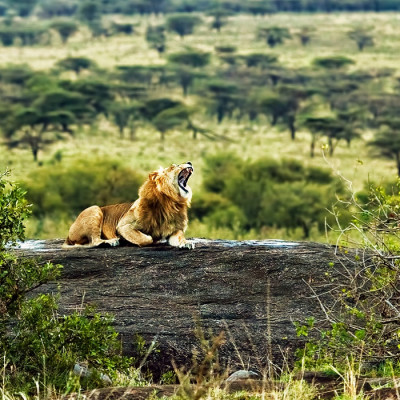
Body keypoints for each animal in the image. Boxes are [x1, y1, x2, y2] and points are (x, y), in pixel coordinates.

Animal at [63, 162, 195, 250]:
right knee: (94, 241)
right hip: (94, 209)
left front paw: (186, 243)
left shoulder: (174, 229)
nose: (189, 162)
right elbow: (147, 239)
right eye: (174, 166)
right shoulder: (123, 226)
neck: (170, 202)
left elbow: (180, 237)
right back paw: (111, 242)